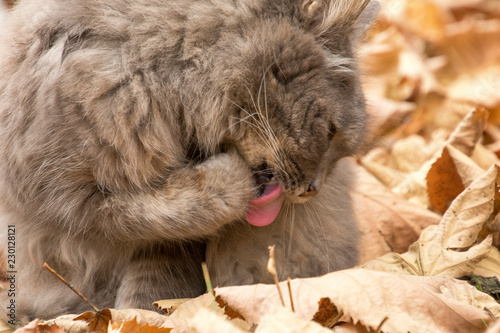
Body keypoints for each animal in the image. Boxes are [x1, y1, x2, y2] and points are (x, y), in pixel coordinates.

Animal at [0, 0, 376, 324]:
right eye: (331, 132)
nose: (313, 190)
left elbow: (157, 267)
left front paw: (139, 318)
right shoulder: (69, 200)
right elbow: (160, 213)